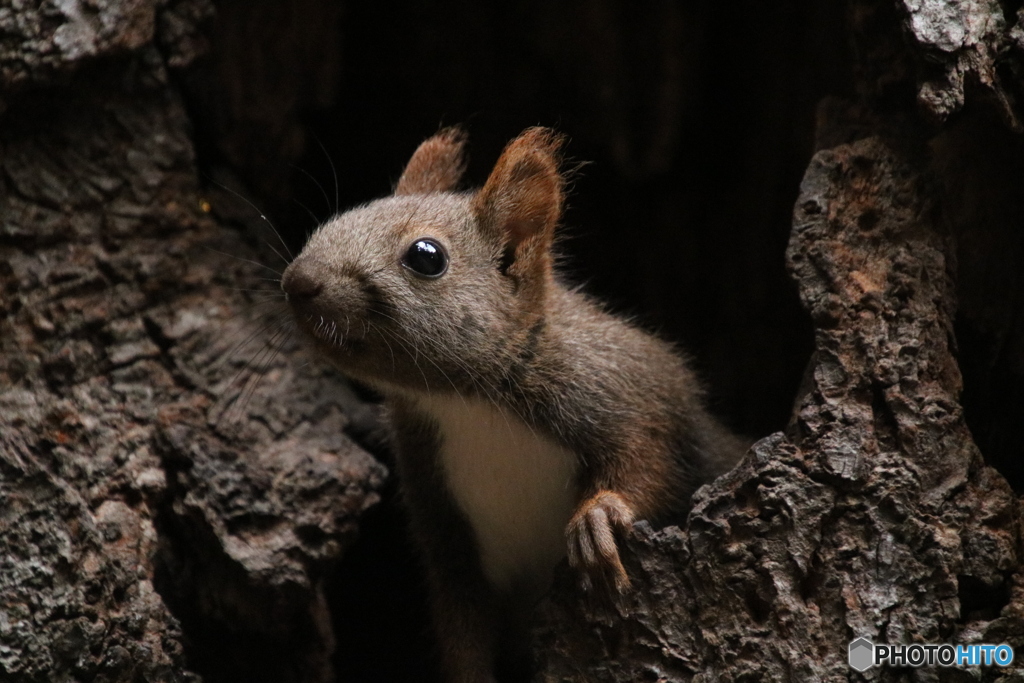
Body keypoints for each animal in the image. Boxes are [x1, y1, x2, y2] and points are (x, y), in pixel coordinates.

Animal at [280, 127, 745, 683]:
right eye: (339, 219)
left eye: (426, 256)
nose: (298, 280)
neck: (467, 405)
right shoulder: (441, 516)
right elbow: (462, 621)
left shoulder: (624, 391)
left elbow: (650, 460)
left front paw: (599, 517)